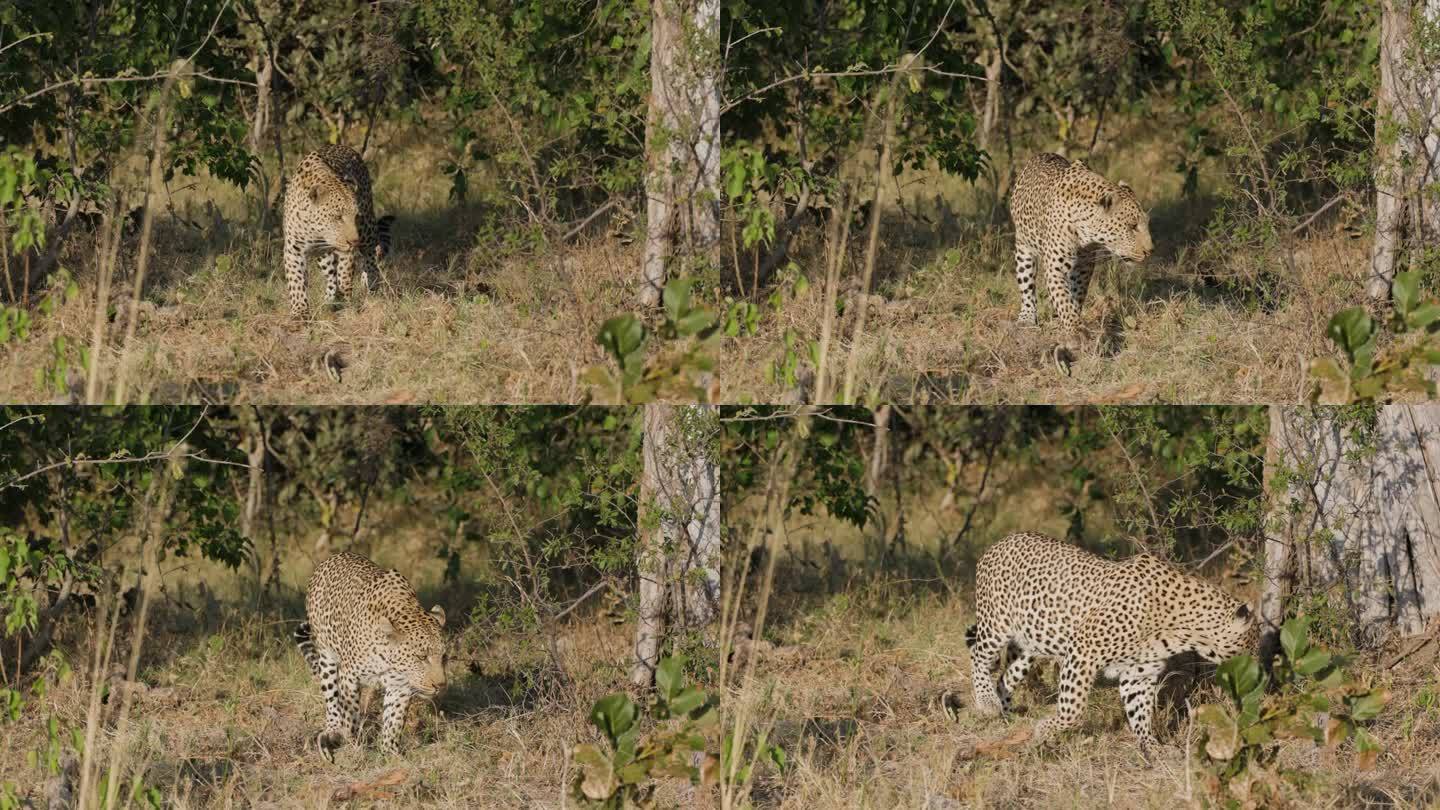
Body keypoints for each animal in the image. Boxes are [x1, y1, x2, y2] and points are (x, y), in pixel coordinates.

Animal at [282, 143, 391, 319]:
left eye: (356, 216)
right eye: (338, 217)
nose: (354, 241)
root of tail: (344, 146)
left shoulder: (346, 250)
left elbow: (344, 274)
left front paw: (346, 300)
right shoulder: (294, 249)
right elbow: (296, 280)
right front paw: (300, 311)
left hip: (367, 230)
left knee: (370, 256)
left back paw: (371, 287)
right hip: (323, 256)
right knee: (330, 275)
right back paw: (329, 300)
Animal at [295, 547, 446, 755]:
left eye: (444, 657)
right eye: (422, 657)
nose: (440, 685)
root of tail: (335, 556)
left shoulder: (400, 687)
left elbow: (394, 722)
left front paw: (390, 753)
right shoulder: (349, 677)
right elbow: (350, 717)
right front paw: (354, 746)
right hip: (327, 657)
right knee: (331, 699)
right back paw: (332, 731)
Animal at [967, 533, 1261, 755]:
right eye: (1251, 646)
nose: (1258, 670)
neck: (1184, 629)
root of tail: (1000, 541)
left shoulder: (1139, 673)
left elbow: (1140, 712)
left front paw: (1152, 745)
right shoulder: (1083, 651)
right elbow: (1073, 709)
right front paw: (1045, 730)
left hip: (1030, 646)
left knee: (1005, 676)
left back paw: (1005, 713)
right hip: (995, 624)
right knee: (978, 656)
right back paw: (986, 702)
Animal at [1013, 151, 1157, 371]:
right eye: (1132, 226)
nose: (1150, 251)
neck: (1084, 229)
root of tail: (1043, 153)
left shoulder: (1085, 266)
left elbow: (1076, 295)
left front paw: (1073, 320)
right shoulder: (1055, 268)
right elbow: (1063, 300)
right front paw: (1074, 331)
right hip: (1023, 248)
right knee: (1027, 287)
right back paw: (1026, 317)